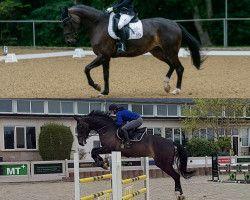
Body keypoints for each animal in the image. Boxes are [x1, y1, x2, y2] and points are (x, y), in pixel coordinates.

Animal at [60, 5, 205, 96]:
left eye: (67, 22)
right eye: (63, 23)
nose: (69, 42)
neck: (98, 25)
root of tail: (175, 23)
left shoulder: (102, 55)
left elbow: (86, 69)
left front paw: (97, 86)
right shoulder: (105, 57)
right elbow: (106, 75)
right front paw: (104, 92)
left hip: (170, 51)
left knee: (179, 68)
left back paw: (176, 90)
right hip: (158, 52)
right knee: (172, 65)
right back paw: (166, 86)